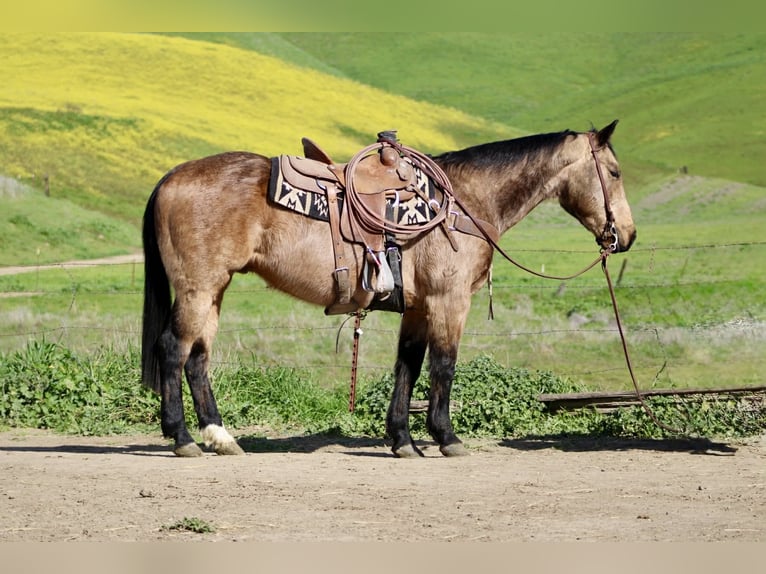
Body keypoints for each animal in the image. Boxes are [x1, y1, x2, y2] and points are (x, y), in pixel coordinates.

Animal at [141, 120, 636, 458]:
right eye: (613, 172)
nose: (626, 236)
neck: (463, 203)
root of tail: (171, 177)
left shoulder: (417, 308)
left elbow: (408, 368)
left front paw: (402, 440)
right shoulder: (449, 301)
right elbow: (443, 366)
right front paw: (446, 437)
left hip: (214, 290)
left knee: (198, 357)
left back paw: (219, 436)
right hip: (198, 289)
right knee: (173, 349)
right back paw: (182, 437)